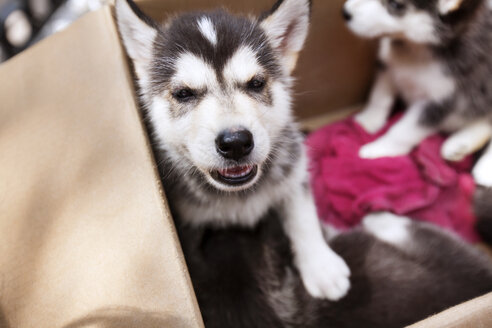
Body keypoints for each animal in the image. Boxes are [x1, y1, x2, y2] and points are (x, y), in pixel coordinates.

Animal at [114, 0, 492, 326]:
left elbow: (302, 214)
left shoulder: (294, 167)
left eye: (256, 83)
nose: (236, 142)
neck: (242, 196)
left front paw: (321, 266)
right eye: (183, 93)